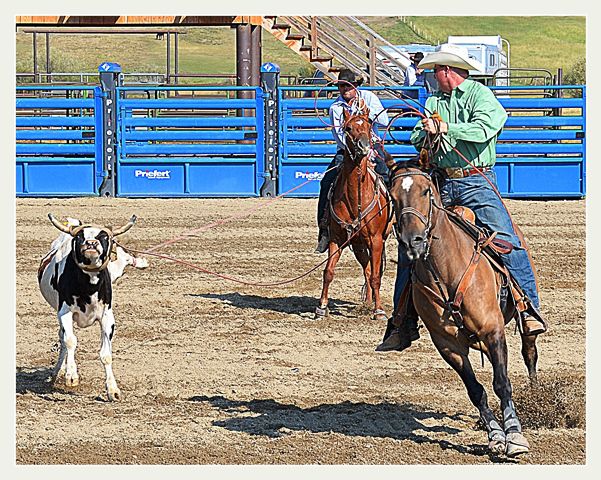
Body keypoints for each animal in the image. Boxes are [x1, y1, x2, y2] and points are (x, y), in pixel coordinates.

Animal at [314, 109, 394, 322]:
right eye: (348, 128)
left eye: (368, 124)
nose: (364, 146)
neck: (355, 198)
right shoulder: (336, 238)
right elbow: (328, 272)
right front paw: (322, 307)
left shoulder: (376, 240)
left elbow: (376, 277)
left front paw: (379, 311)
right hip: (358, 244)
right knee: (366, 269)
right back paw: (367, 301)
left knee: (373, 272)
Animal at [386, 160, 540, 458]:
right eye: (393, 195)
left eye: (426, 192)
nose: (412, 242)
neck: (447, 270)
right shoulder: (447, 345)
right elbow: (476, 390)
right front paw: (495, 435)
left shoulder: (492, 329)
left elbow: (501, 382)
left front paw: (514, 435)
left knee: (529, 351)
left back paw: (537, 393)